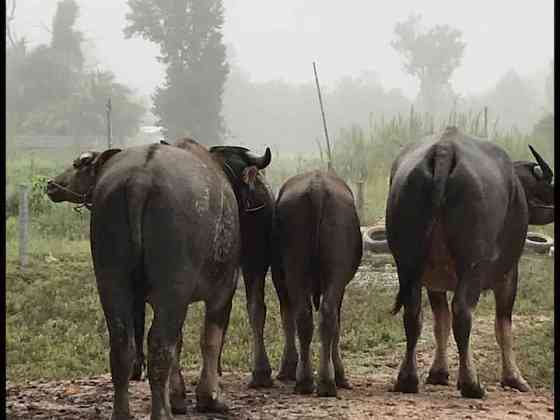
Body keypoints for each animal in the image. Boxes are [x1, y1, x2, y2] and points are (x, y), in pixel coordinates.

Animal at [45, 142, 270, 420]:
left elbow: (179, 343)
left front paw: (177, 397)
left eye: (80, 164)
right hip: (172, 287)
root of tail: (140, 179)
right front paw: (209, 398)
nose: (51, 185)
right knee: (160, 346)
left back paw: (123, 412)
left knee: (123, 345)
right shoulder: (223, 290)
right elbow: (209, 340)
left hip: (111, 281)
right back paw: (161, 412)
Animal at [272, 168, 364, 398]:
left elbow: (287, 318)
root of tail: (317, 188)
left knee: (305, 316)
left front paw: (287, 367)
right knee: (327, 315)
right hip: (334, 273)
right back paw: (326, 381)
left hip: (295, 270)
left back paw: (306, 380)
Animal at [388, 126, 552, 398]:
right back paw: (471, 384)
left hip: (407, 263)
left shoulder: (434, 281)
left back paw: (407, 380)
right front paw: (513, 378)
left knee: (413, 313)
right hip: (473, 266)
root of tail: (445, 149)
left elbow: (440, 323)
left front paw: (438, 373)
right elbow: (503, 326)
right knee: (463, 312)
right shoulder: (509, 274)